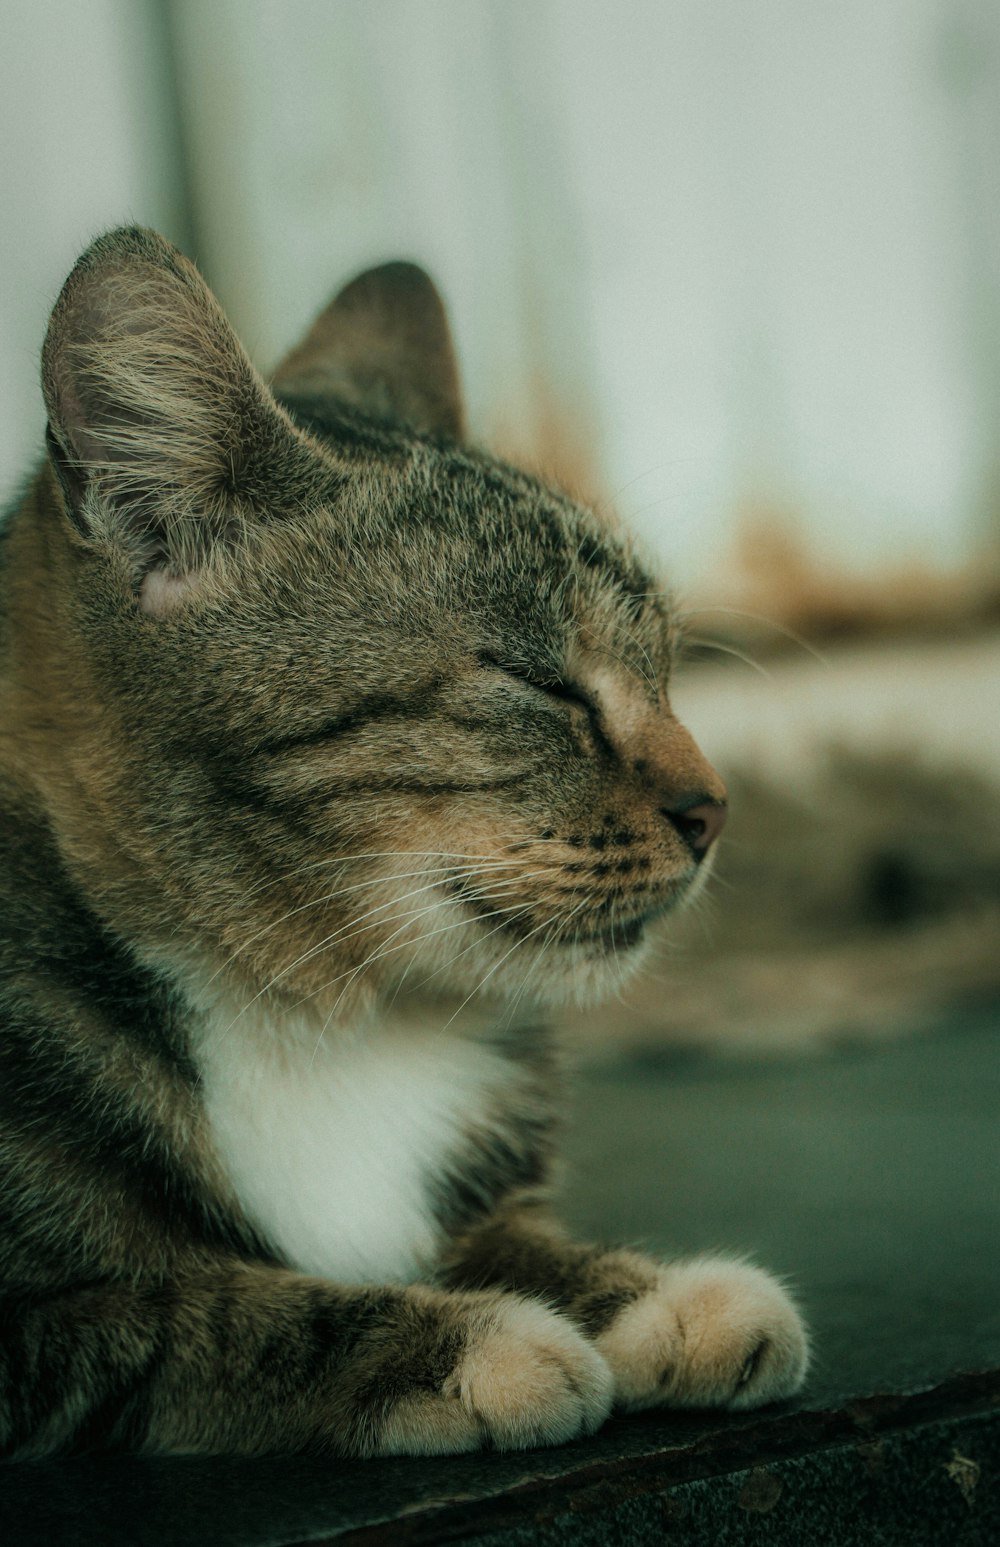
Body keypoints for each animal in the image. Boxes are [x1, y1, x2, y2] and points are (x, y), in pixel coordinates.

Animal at [0, 224, 811, 1454]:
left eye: (666, 667)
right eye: (538, 682)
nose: (715, 809)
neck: (319, 1016)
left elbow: (512, 1237)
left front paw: (640, 1291)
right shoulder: (32, 1332)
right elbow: (199, 1310)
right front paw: (463, 1341)